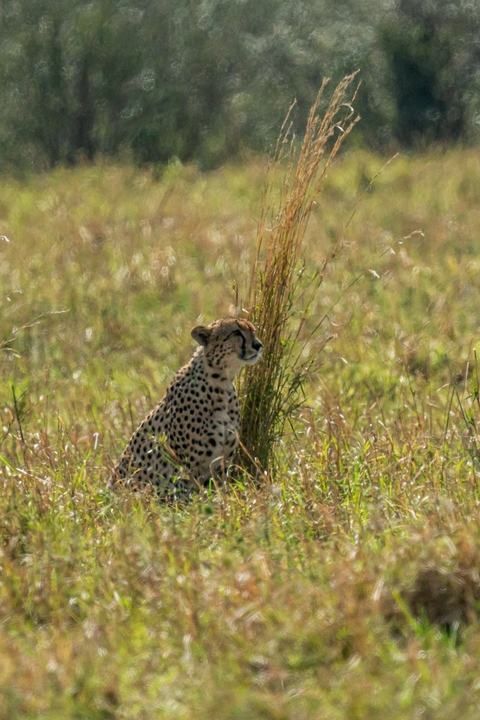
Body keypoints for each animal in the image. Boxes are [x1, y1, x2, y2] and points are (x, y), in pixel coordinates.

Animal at [109, 317, 262, 499]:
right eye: (236, 332)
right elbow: (193, 498)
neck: (221, 383)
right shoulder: (188, 466)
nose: (258, 345)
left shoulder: (222, 464)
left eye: (254, 330)